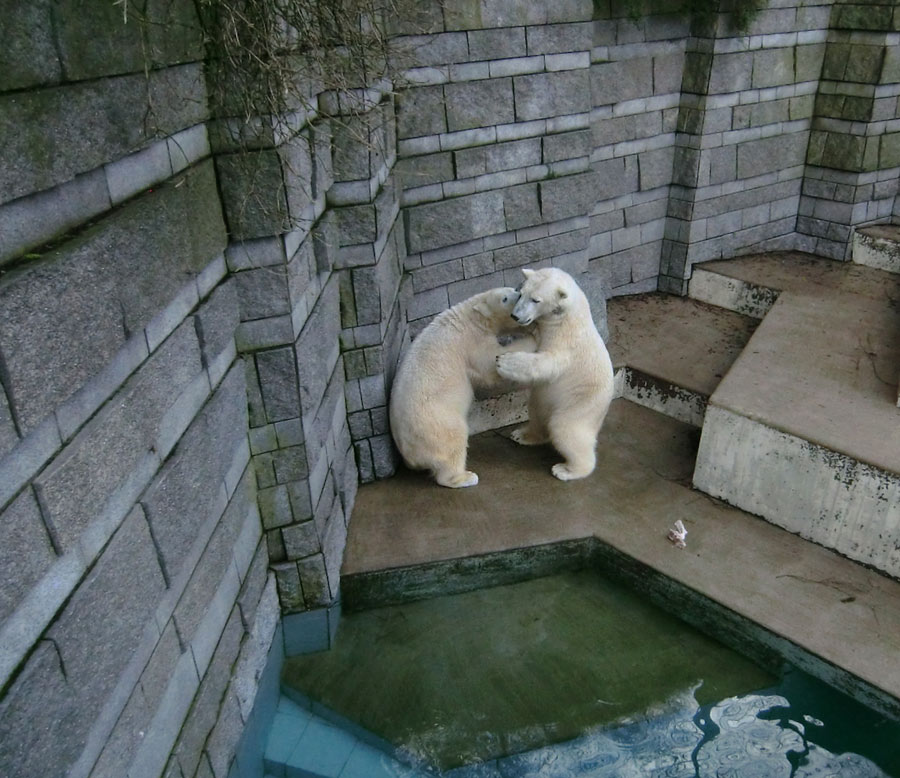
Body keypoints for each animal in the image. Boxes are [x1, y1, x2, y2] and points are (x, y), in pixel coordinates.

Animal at [386, 288, 536, 488]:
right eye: (505, 298)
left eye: (514, 290)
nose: (519, 293)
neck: (470, 315)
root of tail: (409, 453)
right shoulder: (472, 341)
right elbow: (491, 363)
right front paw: (532, 337)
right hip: (436, 422)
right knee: (453, 440)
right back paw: (465, 477)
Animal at [496, 270, 616, 482]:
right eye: (521, 293)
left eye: (536, 299)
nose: (515, 315)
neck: (566, 319)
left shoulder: (568, 345)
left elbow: (548, 364)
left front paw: (506, 362)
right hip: (544, 403)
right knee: (537, 412)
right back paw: (522, 435)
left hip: (580, 406)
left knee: (565, 430)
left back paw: (567, 470)